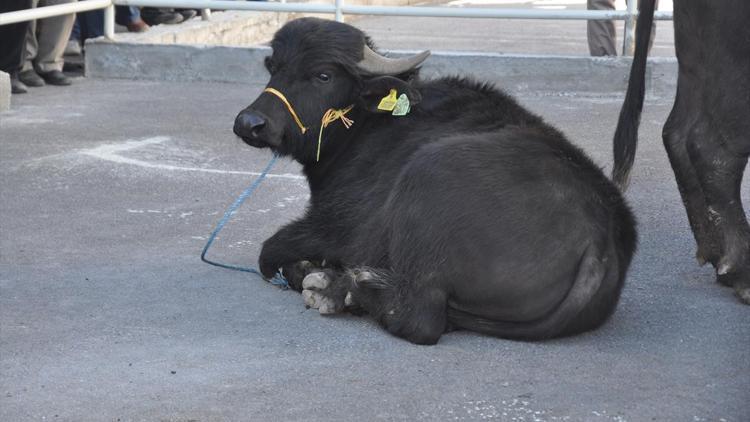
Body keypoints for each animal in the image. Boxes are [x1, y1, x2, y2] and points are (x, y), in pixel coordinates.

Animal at [235, 18, 640, 344]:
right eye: (274, 66)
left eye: (323, 74)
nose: (249, 123)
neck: (370, 124)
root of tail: (601, 241)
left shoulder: (336, 228)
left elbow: (269, 252)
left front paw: (310, 271)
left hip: (426, 177)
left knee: (419, 318)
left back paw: (342, 288)